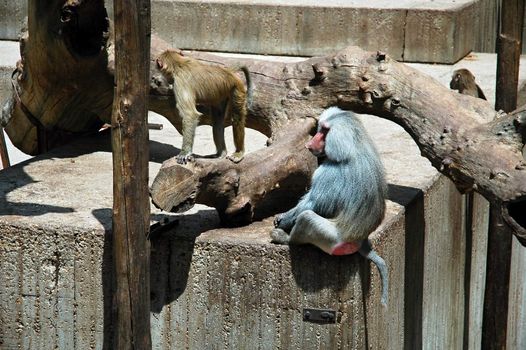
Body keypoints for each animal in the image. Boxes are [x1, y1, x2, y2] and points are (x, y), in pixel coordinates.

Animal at [272, 107, 392, 306]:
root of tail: (361, 240)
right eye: (319, 128)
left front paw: (283, 222)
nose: (309, 144)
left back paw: (285, 238)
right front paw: (282, 215)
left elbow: (315, 204)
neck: (353, 145)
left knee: (307, 218)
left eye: (325, 131)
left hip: (334, 240)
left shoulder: (330, 172)